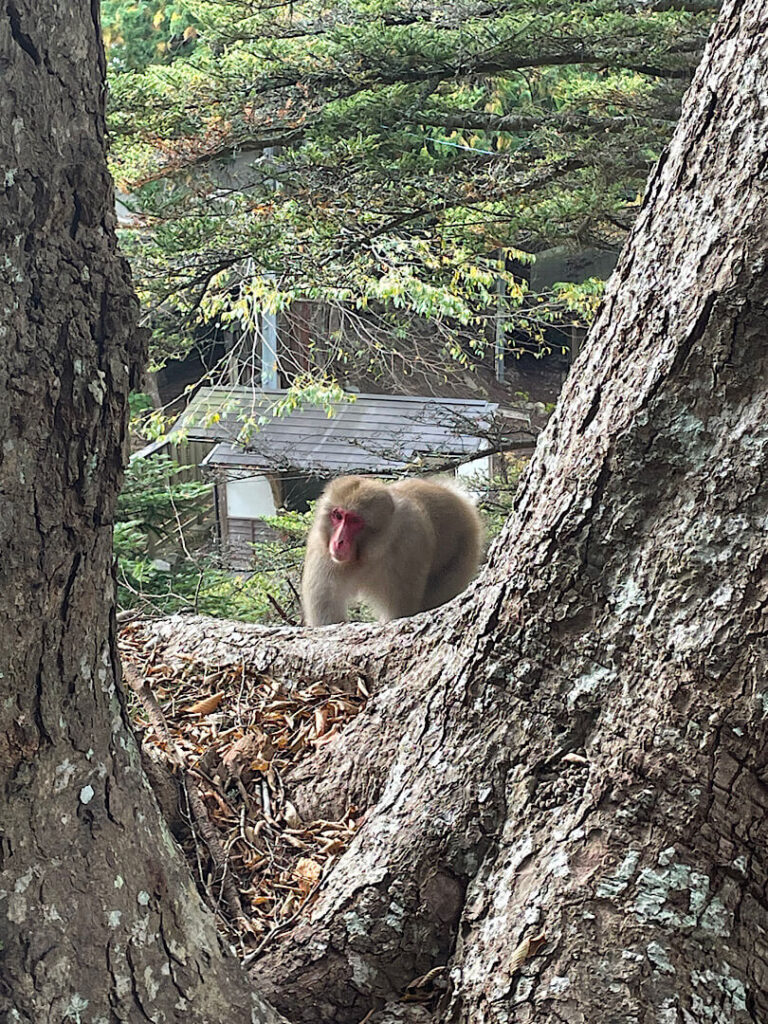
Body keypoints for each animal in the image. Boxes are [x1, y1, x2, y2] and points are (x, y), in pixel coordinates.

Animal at [301, 475, 483, 626]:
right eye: (338, 516)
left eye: (354, 521)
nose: (338, 541)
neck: (366, 556)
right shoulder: (321, 549)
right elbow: (328, 620)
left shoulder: (409, 545)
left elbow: (400, 614)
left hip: (464, 548)